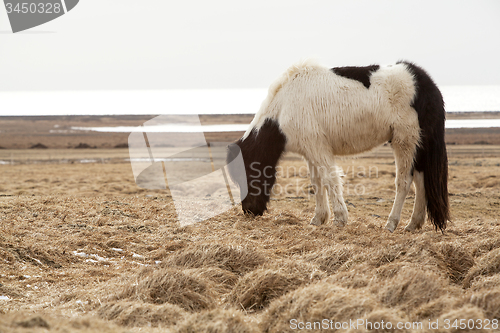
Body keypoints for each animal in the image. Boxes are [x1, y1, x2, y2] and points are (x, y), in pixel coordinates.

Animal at [227, 59, 450, 231]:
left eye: (249, 172)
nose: (249, 210)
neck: (284, 106)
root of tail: (423, 82)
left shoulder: (318, 148)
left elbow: (330, 179)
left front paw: (340, 219)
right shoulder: (311, 151)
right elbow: (317, 182)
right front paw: (318, 219)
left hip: (404, 142)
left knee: (404, 182)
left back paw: (391, 224)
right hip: (417, 145)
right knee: (421, 179)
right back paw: (413, 224)